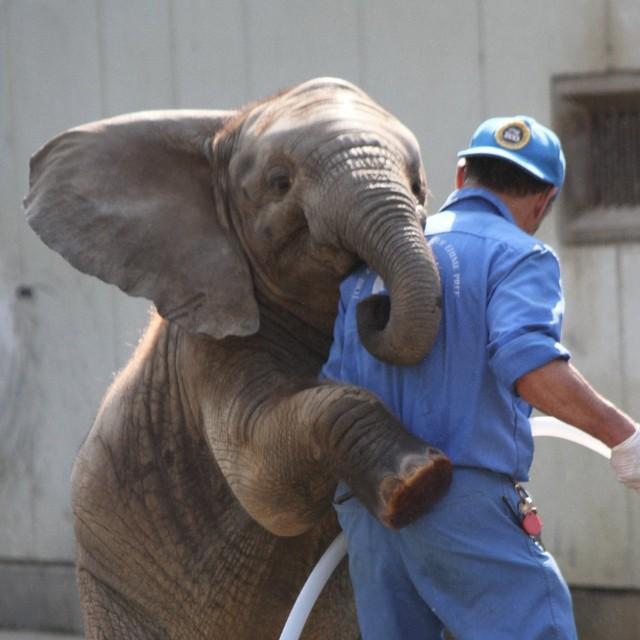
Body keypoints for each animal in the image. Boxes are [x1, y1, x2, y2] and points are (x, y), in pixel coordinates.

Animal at [25, 77, 452, 636]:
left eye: (418, 186)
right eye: (279, 182)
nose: (370, 304)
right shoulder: (208, 352)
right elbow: (263, 482)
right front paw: (419, 477)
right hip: (111, 588)